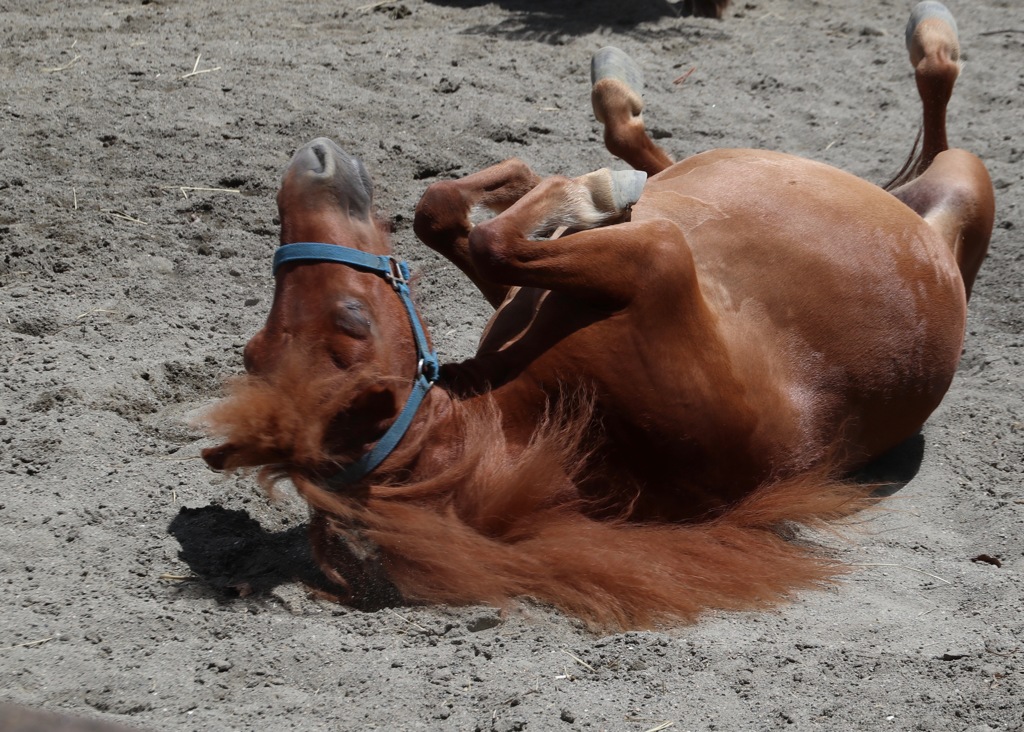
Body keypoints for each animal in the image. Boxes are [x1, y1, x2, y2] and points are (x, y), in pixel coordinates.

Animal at [199, 1, 991, 630]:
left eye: (252, 351)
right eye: (352, 320)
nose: (314, 159)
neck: (542, 413)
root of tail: (935, 243)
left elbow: (447, 213)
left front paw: (537, 186)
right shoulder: (659, 258)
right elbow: (495, 237)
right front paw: (587, 191)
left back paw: (613, 95)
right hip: (965, 189)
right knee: (940, 111)